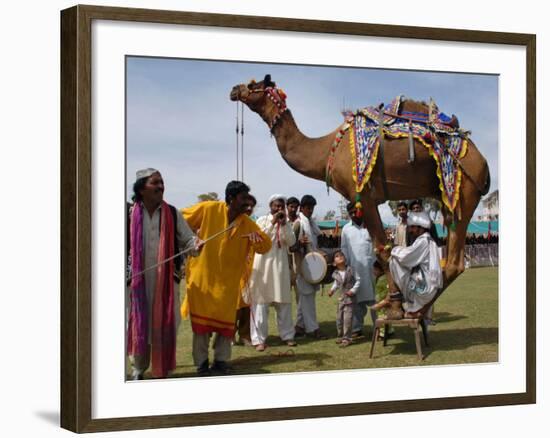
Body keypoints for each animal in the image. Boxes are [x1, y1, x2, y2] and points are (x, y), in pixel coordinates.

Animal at [229, 75, 492, 314]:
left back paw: (416, 308)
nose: (234, 89)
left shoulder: (364, 194)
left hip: (464, 190)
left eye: (253, 84)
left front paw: (393, 304)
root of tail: (483, 164)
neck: (327, 151)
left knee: (455, 262)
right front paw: (388, 301)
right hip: (449, 199)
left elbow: (383, 248)